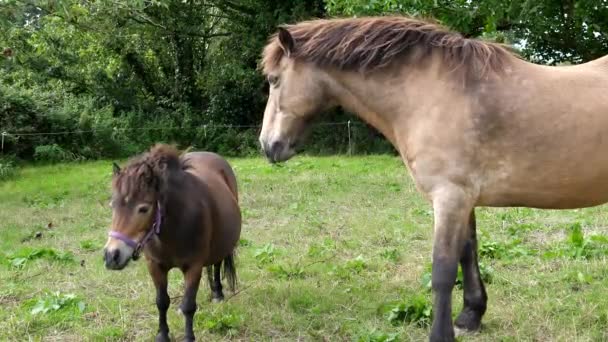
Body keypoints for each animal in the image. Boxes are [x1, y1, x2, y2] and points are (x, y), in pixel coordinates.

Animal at [102, 144, 240, 342]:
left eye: (143, 209)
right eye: (113, 205)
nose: (111, 255)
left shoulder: (193, 267)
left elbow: (189, 305)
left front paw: (188, 337)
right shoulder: (155, 265)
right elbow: (162, 302)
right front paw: (162, 334)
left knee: (217, 264)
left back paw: (217, 293)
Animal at [258, 15, 608, 342]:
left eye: (274, 80)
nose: (267, 145)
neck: (432, 94)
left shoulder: (449, 196)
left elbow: (442, 269)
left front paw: (442, 332)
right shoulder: (463, 199)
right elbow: (468, 251)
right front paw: (471, 315)